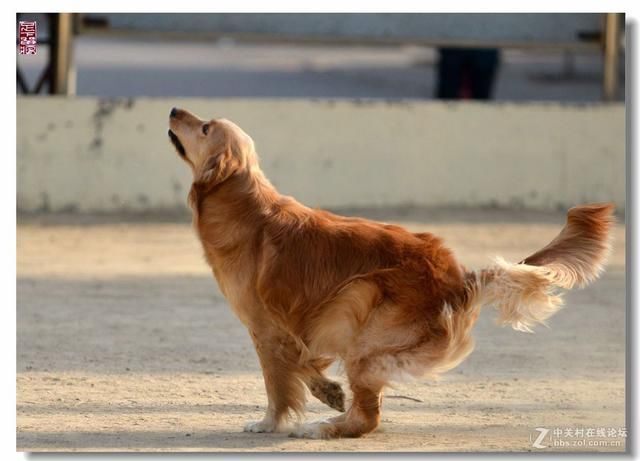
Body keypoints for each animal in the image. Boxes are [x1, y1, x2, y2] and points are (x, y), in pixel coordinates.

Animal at [169, 107, 616, 438]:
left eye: (204, 127)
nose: (174, 109)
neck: (245, 206)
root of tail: (458, 278)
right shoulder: (291, 326)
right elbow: (304, 363)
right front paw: (328, 391)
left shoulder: (266, 327)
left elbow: (282, 380)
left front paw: (270, 422)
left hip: (359, 307)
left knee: (367, 420)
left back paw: (323, 426)